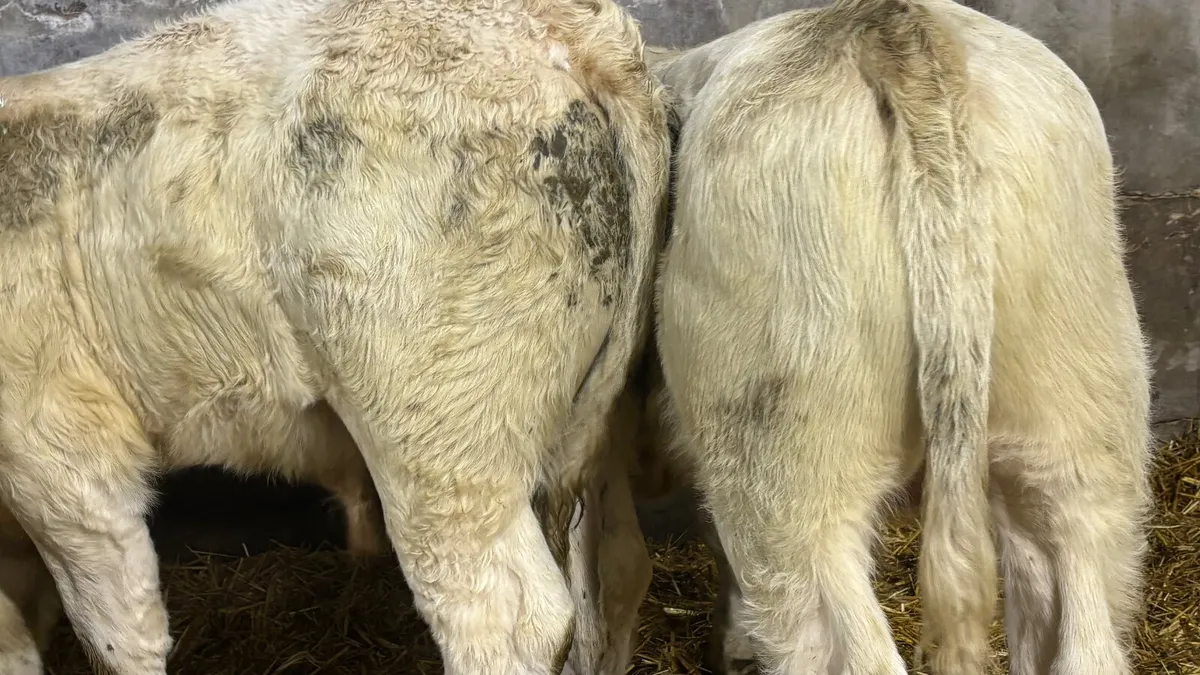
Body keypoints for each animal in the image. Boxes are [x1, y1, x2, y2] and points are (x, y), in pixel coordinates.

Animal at [0, 0, 670, 672]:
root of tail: (560, 24)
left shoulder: (58, 451)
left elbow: (116, 634)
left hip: (441, 443)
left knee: (502, 619)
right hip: (591, 427)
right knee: (614, 574)